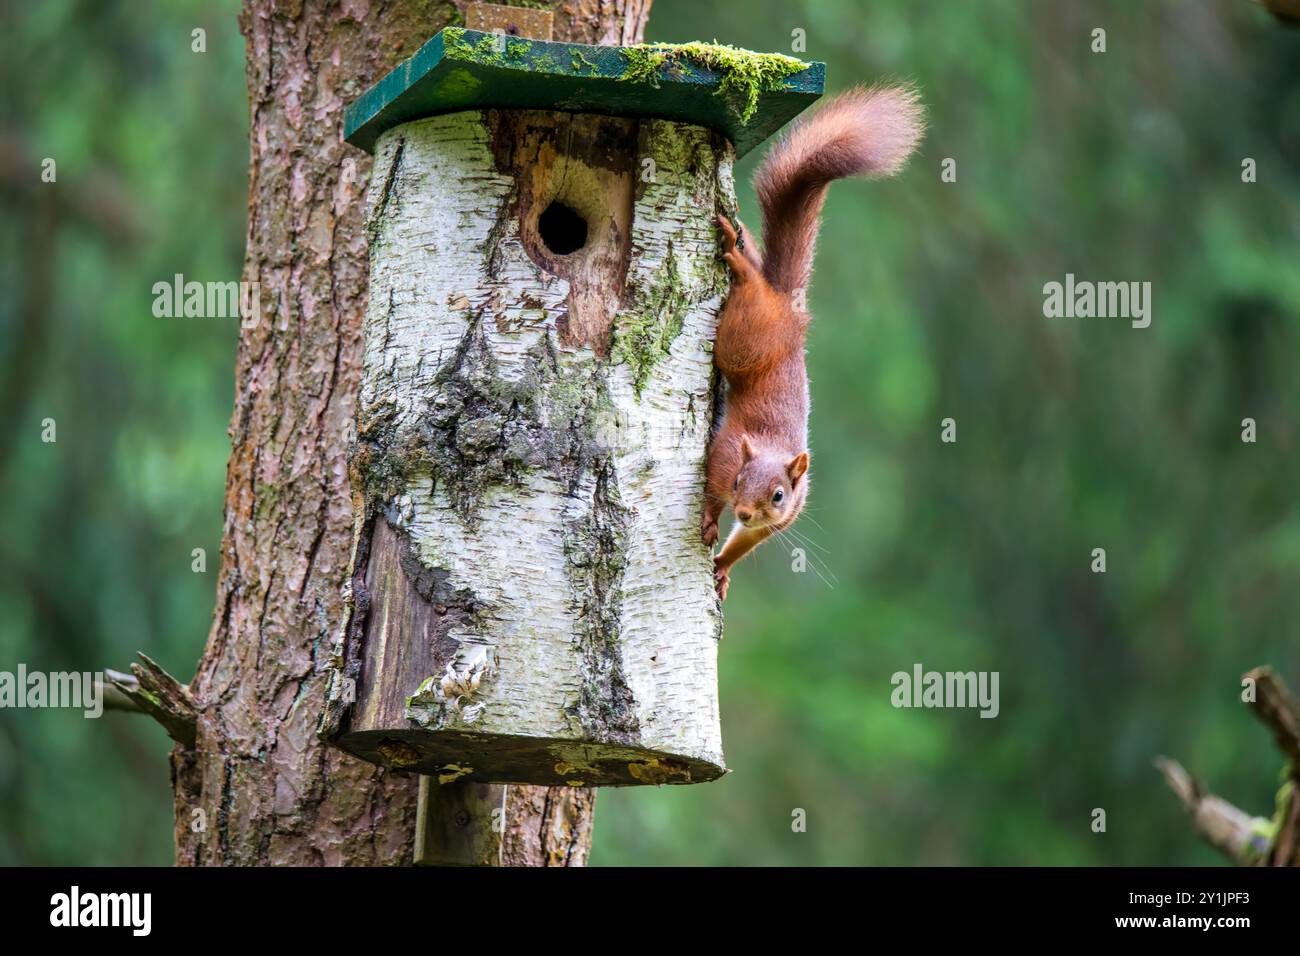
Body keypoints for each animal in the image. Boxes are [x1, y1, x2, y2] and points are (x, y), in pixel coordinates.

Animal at [702, 87, 925, 598]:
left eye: (779, 495)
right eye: (739, 479)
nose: (743, 510)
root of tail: (788, 307)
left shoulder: (781, 519)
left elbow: (749, 541)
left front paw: (723, 565)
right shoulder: (722, 458)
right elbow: (707, 489)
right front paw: (710, 518)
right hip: (743, 339)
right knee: (751, 291)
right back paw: (741, 261)